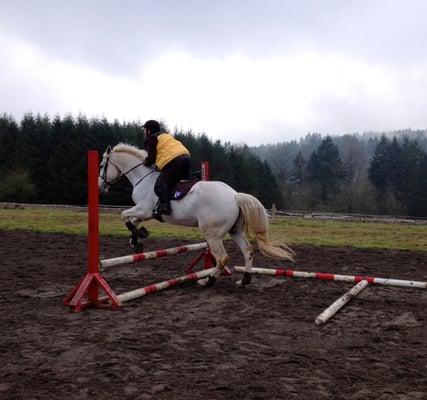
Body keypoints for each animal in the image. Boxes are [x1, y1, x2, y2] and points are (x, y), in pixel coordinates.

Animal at [100, 142, 294, 286]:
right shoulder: (146, 213)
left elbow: (124, 216)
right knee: (247, 250)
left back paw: (208, 280)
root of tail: (234, 195)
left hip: (212, 234)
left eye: (102, 165)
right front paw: (137, 240)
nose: (101, 188)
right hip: (235, 230)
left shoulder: (144, 209)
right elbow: (132, 221)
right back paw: (244, 279)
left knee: (222, 257)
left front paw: (138, 236)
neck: (144, 178)